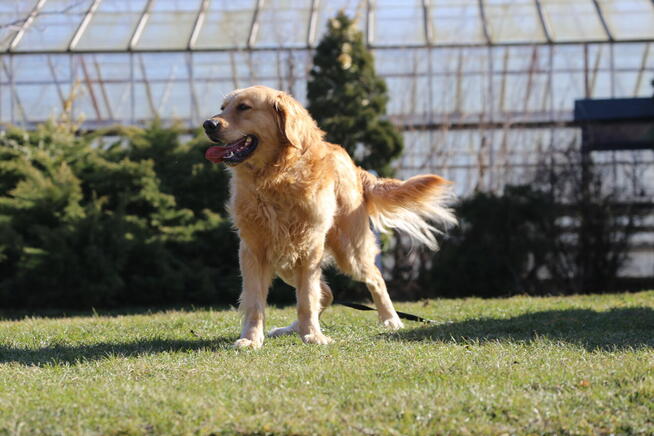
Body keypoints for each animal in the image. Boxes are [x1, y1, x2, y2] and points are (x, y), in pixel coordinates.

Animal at [204, 87, 456, 350]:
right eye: (223, 108)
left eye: (244, 107)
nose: (208, 124)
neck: (276, 176)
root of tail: (354, 166)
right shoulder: (253, 251)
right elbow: (255, 302)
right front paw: (251, 339)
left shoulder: (308, 248)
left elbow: (307, 298)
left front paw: (313, 336)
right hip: (285, 261)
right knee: (326, 293)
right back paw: (291, 328)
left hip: (349, 252)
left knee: (374, 279)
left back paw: (390, 320)